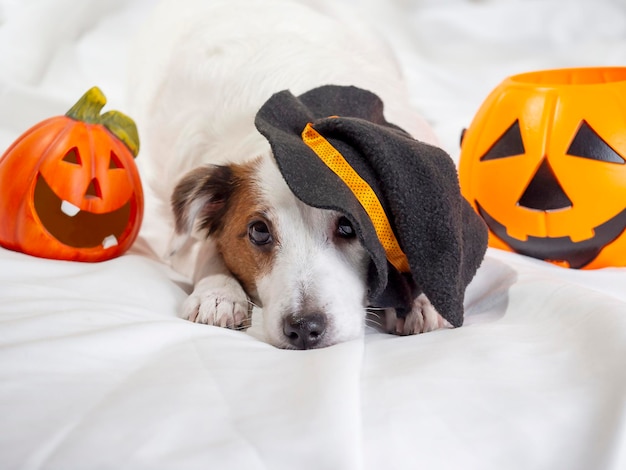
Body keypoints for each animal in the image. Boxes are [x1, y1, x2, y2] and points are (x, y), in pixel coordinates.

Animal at [132, 0, 454, 346]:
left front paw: (419, 299)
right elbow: (206, 248)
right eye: (259, 231)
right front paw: (218, 292)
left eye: (349, 227)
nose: (304, 328)